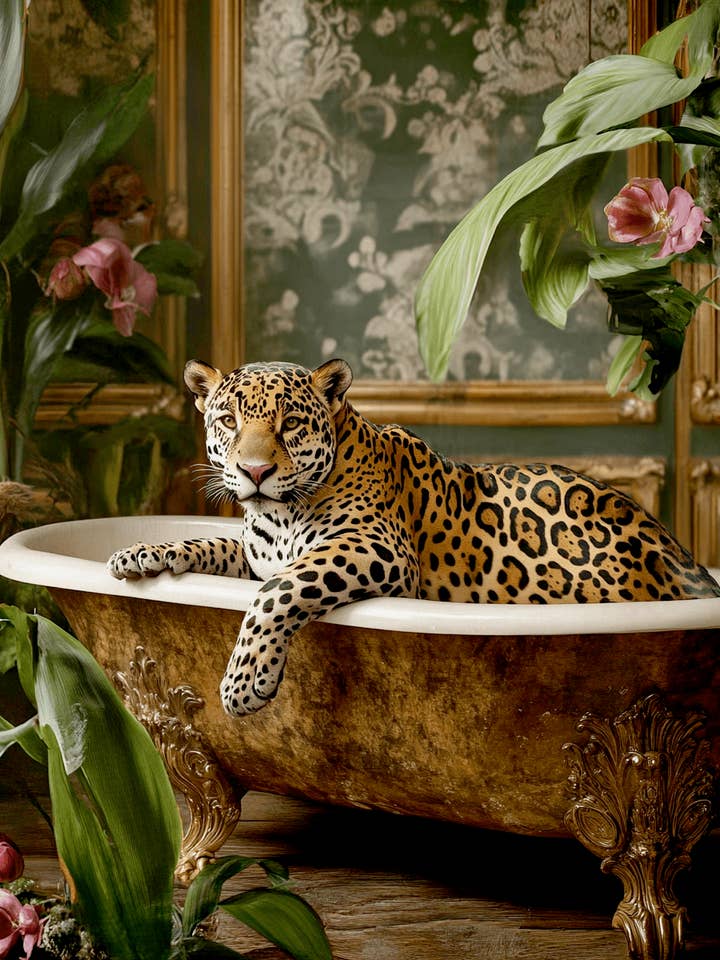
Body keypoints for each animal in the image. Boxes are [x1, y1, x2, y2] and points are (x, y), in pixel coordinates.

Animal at [108, 358, 720, 716]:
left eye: (291, 424)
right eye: (229, 421)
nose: (254, 471)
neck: (280, 516)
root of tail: (682, 558)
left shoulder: (376, 550)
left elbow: (279, 591)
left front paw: (244, 681)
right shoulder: (258, 553)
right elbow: (210, 545)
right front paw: (142, 552)